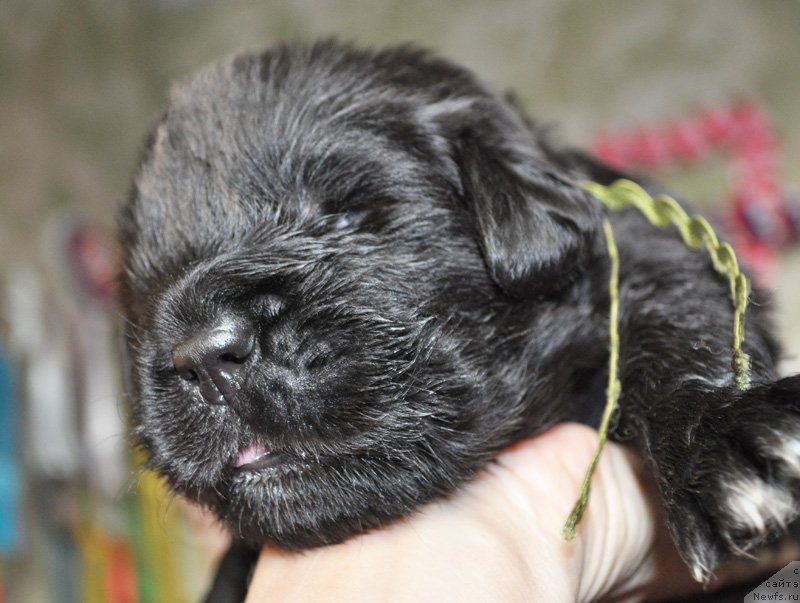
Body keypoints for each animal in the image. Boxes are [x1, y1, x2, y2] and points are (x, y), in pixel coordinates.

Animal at [119, 40, 800, 596]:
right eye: (144, 285)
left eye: (344, 216)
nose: (207, 355)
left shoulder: (642, 248)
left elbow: (676, 316)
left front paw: (722, 439)